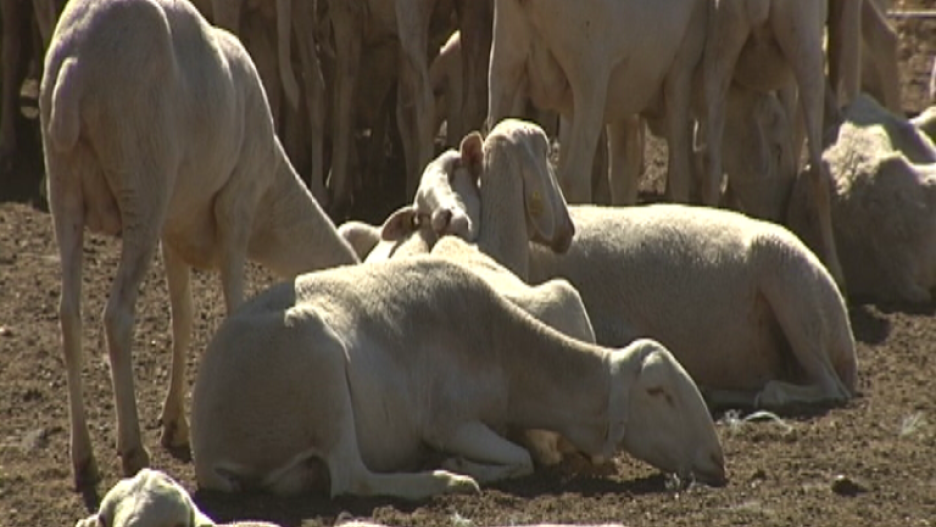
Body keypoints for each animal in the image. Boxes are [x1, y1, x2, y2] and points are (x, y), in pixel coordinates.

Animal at [39, 0, 358, 488]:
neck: (271, 201)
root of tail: (75, 65)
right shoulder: (236, 210)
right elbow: (232, 311)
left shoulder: (175, 234)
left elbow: (184, 321)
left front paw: (175, 423)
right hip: (143, 181)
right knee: (116, 317)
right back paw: (132, 450)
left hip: (65, 188)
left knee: (69, 315)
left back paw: (84, 459)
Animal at [190, 255, 728, 500]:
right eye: (659, 392)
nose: (717, 459)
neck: (507, 354)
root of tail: (205, 445)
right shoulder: (449, 420)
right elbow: (520, 460)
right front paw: (460, 464)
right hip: (318, 367)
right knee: (350, 478)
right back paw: (447, 479)